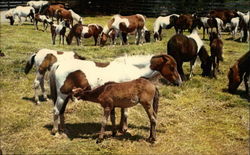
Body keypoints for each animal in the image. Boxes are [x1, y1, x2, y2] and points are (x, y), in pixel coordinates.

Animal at [48, 54, 182, 137]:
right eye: (172, 67)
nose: (179, 82)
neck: (131, 69)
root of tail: (59, 64)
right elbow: (125, 112)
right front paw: (123, 129)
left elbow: (122, 112)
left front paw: (120, 128)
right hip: (62, 95)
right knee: (56, 110)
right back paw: (55, 131)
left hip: (66, 96)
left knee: (61, 111)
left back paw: (63, 129)